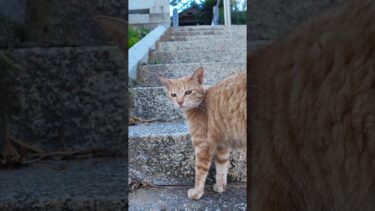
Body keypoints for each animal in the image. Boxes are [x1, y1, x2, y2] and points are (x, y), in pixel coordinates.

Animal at [161, 68, 247, 199]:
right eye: (173, 95)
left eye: (188, 92)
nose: (180, 102)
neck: (200, 106)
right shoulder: (222, 146)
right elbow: (221, 167)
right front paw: (221, 186)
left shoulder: (203, 145)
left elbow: (200, 171)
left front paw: (197, 193)